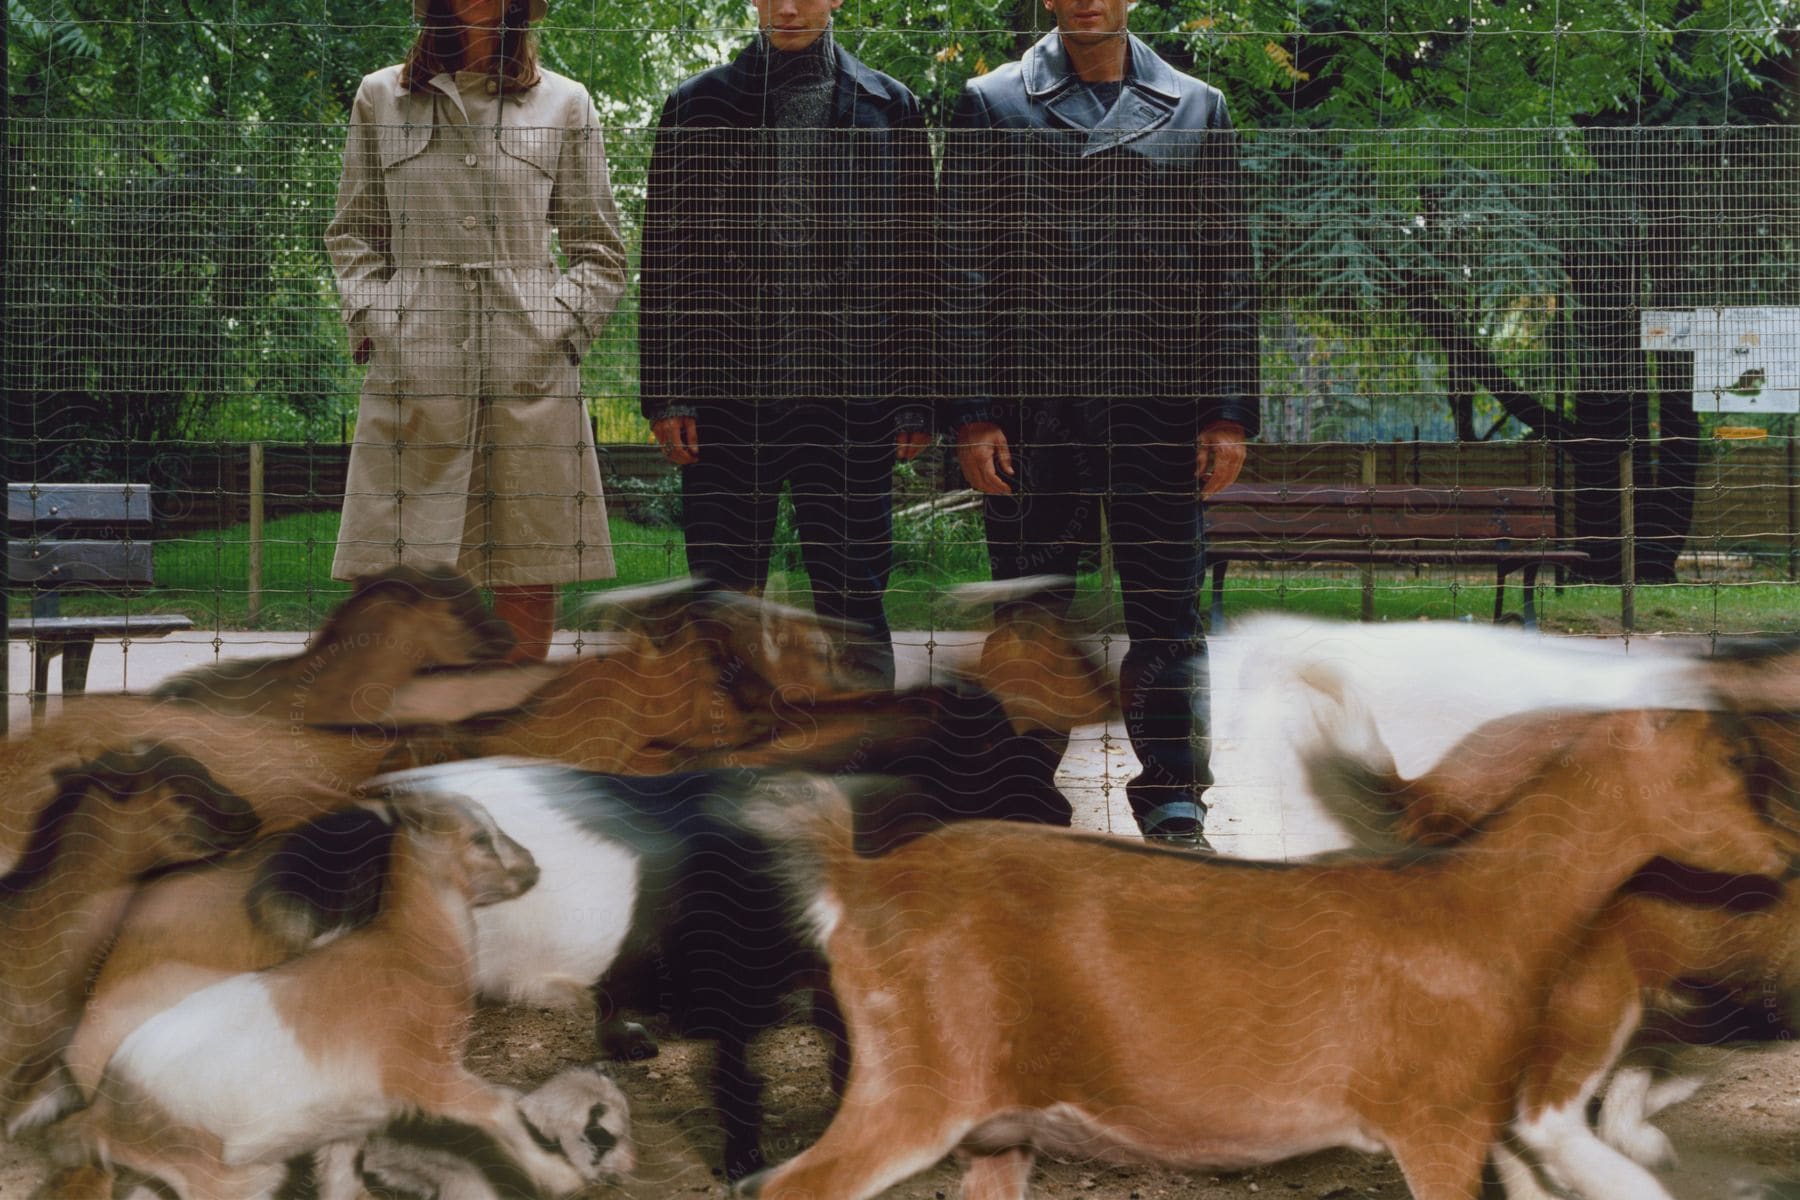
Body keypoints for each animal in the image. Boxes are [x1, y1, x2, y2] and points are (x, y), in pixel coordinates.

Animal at [47, 791, 583, 1200]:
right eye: (478, 838)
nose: (532, 869)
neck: (411, 949)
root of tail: (103, 1113)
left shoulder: (352, 1117)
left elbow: (342, 1178)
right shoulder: (424, 1074)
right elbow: (500, 1108)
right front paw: (560, 1177)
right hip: (224, 1178)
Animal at [727, 708, 1785, 1200]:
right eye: (1735, 764)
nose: (1785, 857)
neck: (1482, 911)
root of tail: (858, 879)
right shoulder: (1436, 1122)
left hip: (997, 1125)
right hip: (915, 1081)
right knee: (782, 1186)